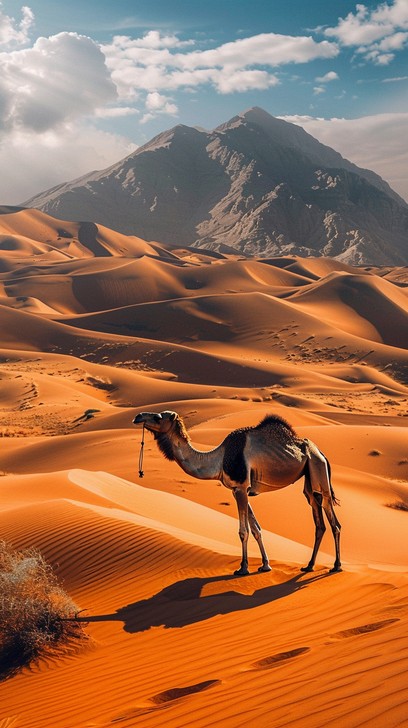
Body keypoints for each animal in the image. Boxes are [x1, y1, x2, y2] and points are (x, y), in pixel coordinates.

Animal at [133, 411, 341, 575]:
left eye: (158, 417)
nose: (138, 416)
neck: (219, 459)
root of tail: (321, 453)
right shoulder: (238, 490)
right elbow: (256, 529)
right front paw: (265, 566)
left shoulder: (241, 487)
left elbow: (244, 531)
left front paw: (243, 568)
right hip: (309, 477)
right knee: (318, 520)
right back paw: (309, 566)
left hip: (317, 468)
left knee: (333, 520)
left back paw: (336, 566)